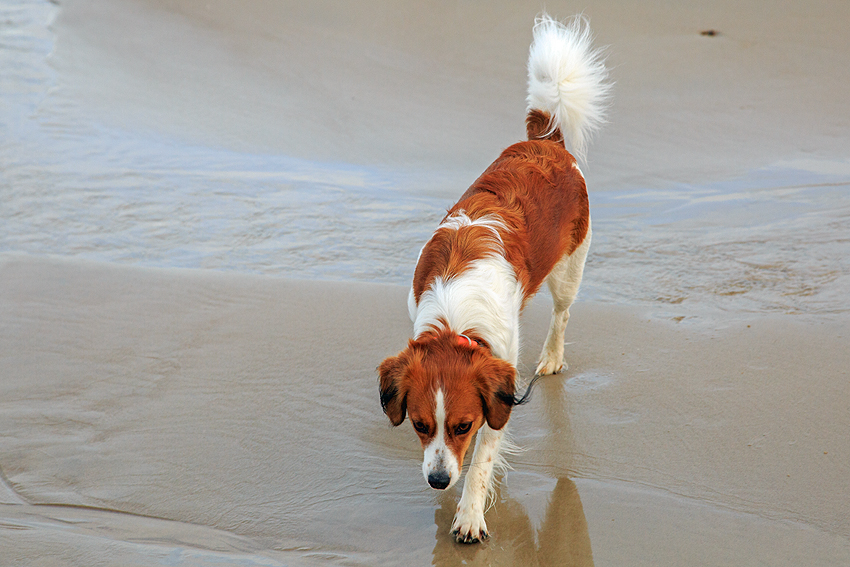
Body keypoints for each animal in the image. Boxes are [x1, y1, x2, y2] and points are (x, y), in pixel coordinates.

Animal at [374, 13, 608, 544]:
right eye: (420, 425)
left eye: (463, 426)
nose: (438, 481)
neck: (453, 321)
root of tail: (546, 142)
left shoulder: (501, 383)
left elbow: (482, 460)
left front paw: (469, 514)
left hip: (571, 266)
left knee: (562, 314)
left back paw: (552, 358)